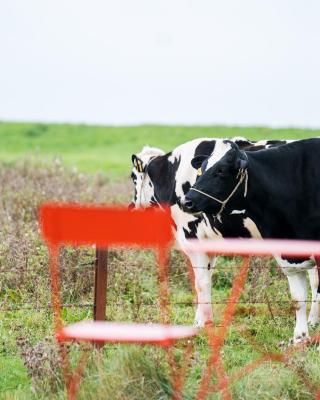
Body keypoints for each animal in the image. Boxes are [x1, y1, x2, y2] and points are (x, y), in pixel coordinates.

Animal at [181, 139, 320, 342]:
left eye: (221, 170)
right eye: (202, 168)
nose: (187, 201)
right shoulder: (290, 255)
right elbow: (298, 298)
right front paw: (299, 339)